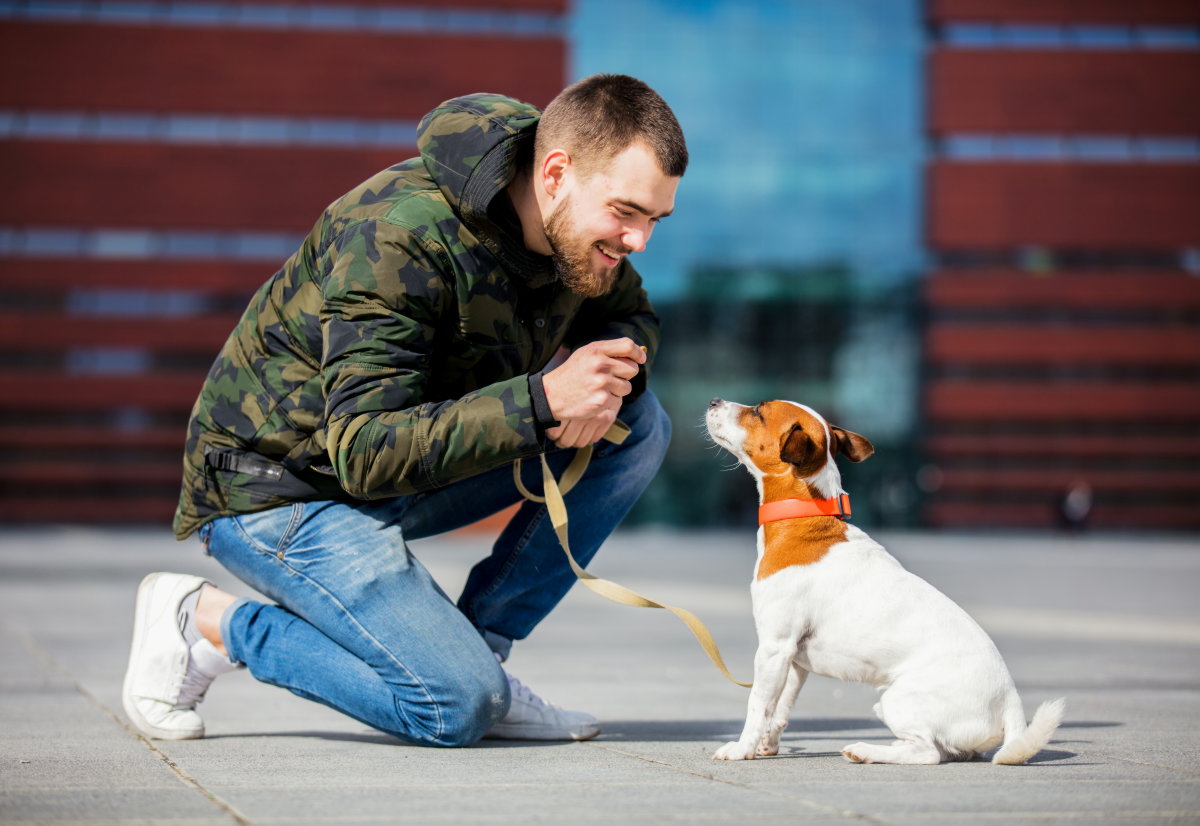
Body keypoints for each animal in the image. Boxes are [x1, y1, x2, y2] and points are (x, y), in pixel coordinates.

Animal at [705, 396, 1065, 763]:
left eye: (758, 411)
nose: (715, 400)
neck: (803, 517)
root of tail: (1010, 701)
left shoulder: (774, 648)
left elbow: (758, 706)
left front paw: (742, 748)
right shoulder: (792, 660)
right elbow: (779, 708)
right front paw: (767, 745)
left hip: (896, 700)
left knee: (927, 752)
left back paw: (865, 750)